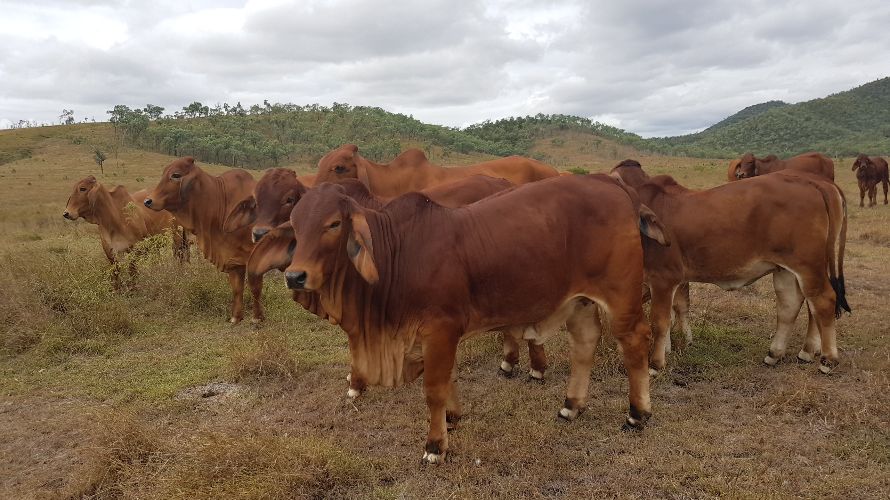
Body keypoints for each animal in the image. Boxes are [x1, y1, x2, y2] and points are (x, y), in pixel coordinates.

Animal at [142, 158, 264, 326]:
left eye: (176, 175)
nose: (148, 201)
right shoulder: (233, 259)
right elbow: (237, 288)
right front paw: (236, 318)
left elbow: (255, 288)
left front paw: (257, 318)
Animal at [280, 174, 656, 462]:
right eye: (295, 226)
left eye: (333, 224)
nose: (295, 276)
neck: (399, 253)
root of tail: (610, 182)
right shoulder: (430, 335)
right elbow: (448, 380)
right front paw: (452, 418)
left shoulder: (440, 329)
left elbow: (434, 388)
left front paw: (435, 446)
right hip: (580, 301)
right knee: (585, 343)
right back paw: (571, 406)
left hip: (621, 297)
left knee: (635, 342)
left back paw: (637, 414)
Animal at [608, 160, 848, 376]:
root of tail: (816, 183)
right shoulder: (674, 281)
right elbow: (676, 311)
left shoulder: (663, 278)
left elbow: (659, 322)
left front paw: (655, 364)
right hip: (786, 269)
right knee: (791, 305)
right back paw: (778, 353)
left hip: (808, 266)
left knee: (823, 300)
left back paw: (827, 359)